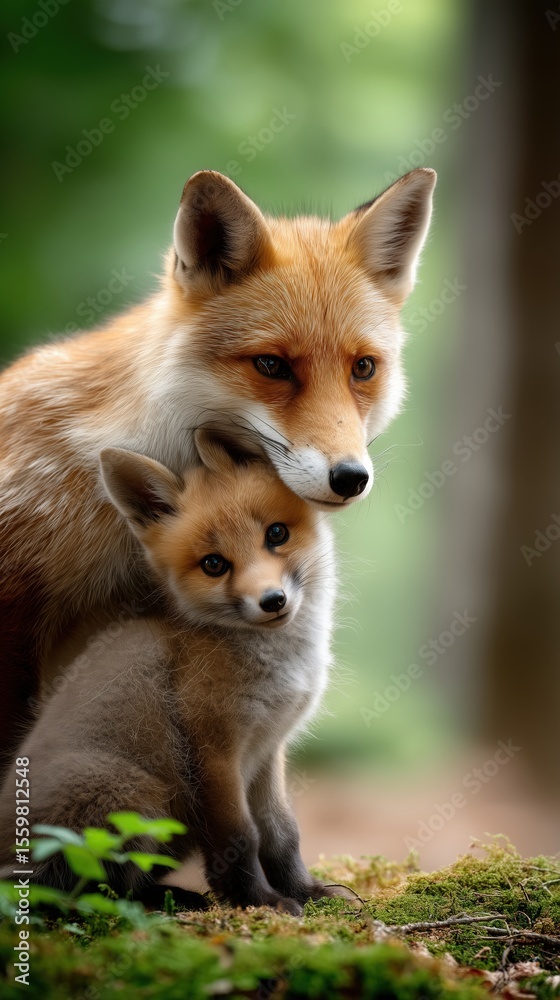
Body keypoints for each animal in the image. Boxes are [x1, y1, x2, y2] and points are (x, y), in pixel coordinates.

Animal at [0, 433, 338, 913]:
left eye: (276, 534)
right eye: (214, 564)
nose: (273, 601)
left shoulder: (268, 750)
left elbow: (282, 832)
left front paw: (307, 892)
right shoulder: (214, 751)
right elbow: (240, 838)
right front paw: (259, 903)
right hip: (138, 795)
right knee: (90, 895)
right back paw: (165, 902)